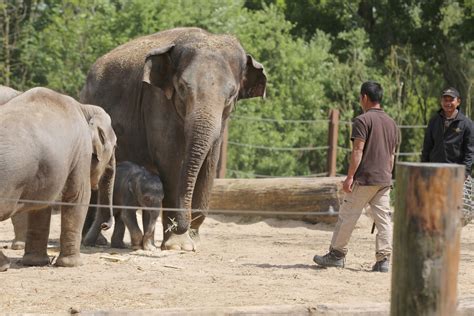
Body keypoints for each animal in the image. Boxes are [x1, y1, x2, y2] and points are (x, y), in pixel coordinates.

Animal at [0, 87, 115, 272]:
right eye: (115, 146)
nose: (105, 225)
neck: (84, 107)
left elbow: (41, 204)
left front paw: (35, 262)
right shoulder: (81, 151)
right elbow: (78, 197)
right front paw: (73, 264)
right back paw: (4, 264)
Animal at [81, 27, 266, 251]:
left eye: (231, 95)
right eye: (183, 88)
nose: (182, 225)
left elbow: (209, 164)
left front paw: (194, 242)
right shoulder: (157, 101)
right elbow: (171, 162)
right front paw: (179, 246)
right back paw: (94, 240)